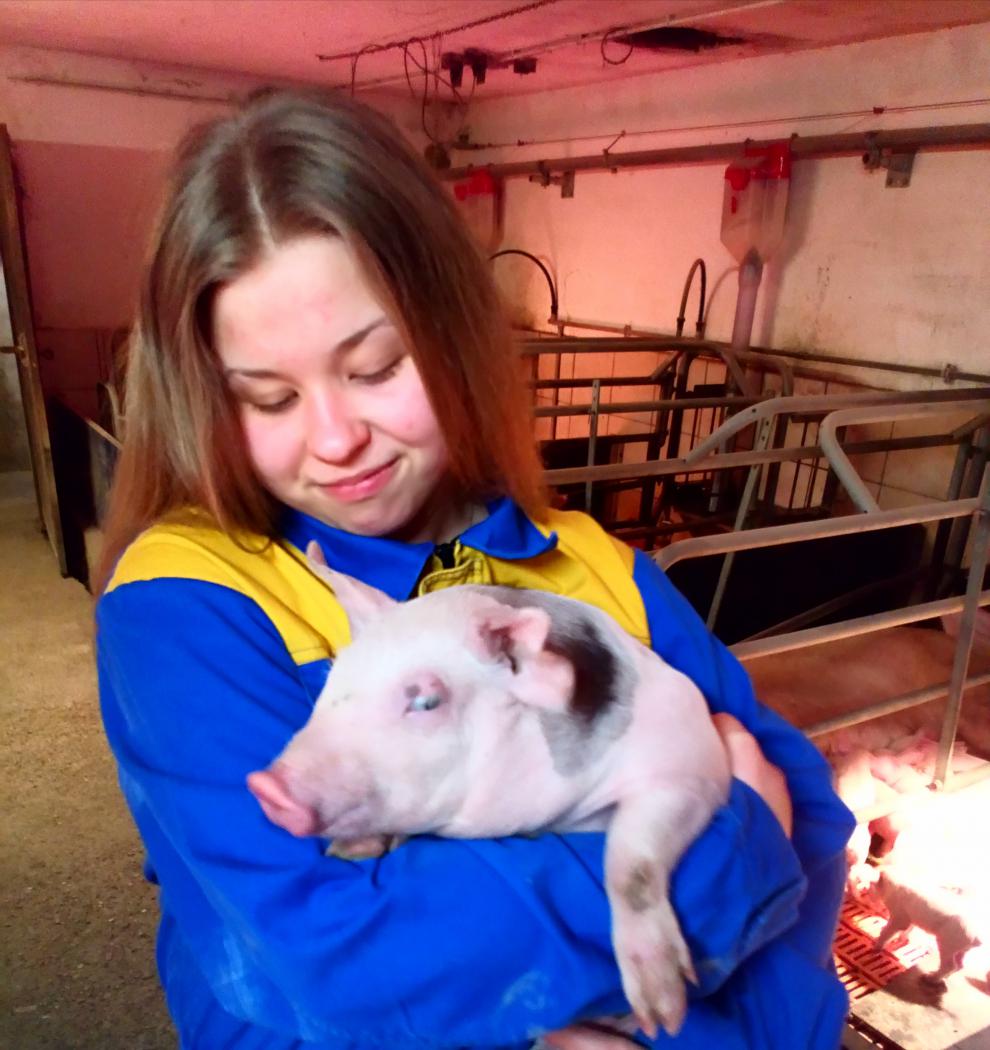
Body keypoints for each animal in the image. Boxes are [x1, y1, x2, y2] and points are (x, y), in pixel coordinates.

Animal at [248, 543, 732, 1039]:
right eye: (333, 677)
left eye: (426, 701)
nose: (265, 786)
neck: (554, 819)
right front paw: (350, 851)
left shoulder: (692, 767)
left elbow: (630, 863)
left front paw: (662, 1014)